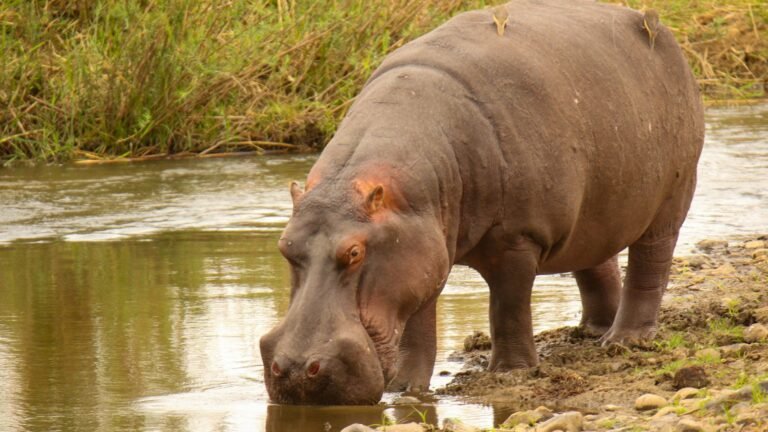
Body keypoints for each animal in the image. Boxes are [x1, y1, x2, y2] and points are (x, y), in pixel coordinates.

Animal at [260, 0, 704, 405]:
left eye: (354, 252)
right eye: (284, 246)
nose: (295, 369)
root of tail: (658, 32)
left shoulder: (517, 238)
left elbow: (508, 307)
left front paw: (510, 373)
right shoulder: (422, 249)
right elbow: (418, 321)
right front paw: (405, 387)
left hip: (671, 198)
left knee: (650, 264)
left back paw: (624, 341)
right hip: (595, 211)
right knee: (596, 260)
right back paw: (595, 330)